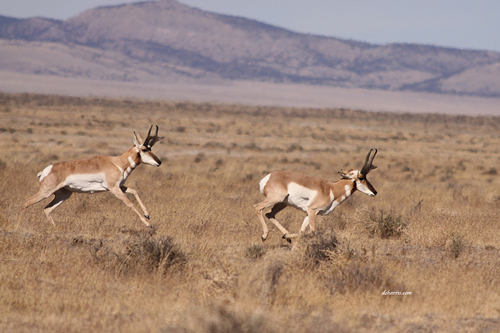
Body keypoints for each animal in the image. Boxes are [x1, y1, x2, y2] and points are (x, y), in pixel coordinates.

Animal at [18, 124, 163, 231]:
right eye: (144, 149)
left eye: (151, 148)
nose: (159, 162)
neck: (117, 162)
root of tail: (47, 169)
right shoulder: (114, 188)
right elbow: (129, 203)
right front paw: (148, 224)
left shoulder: (120, 186)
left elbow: (135, 191)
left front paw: (147, 214)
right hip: (46, 192)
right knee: (27, 202)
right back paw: (18, 226)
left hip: (63, 195)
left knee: (47, 209)